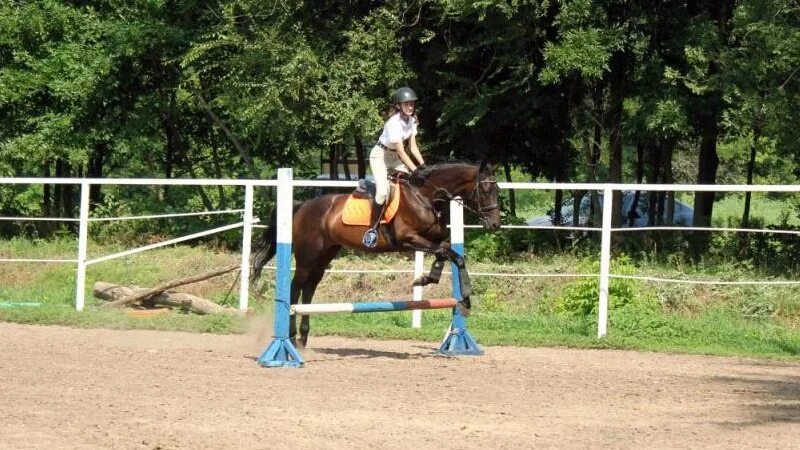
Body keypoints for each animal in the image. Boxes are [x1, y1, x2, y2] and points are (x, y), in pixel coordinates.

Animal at [253, 162, 500, 348]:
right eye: (486, 190)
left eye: (497, 190)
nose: (495, 224)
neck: (425, 196)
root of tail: (302, 205)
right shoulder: (408, 239)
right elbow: (443, 253)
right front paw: (427, 279)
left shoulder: (433, 240)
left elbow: (453, 255)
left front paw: (460, 296)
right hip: (307, 258)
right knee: (295, 289)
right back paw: (290, 337)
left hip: (323, 257)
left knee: (309, 289)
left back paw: (303, 338)